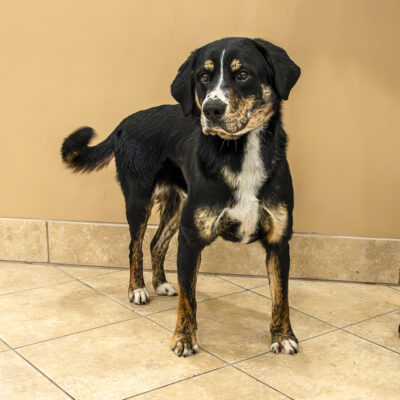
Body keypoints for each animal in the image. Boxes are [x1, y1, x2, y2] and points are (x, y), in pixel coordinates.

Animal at [61, 37, 300, 356]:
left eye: (243, 74)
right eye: (203, 77)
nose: (211, 109)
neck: (239, 153)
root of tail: (124, 123)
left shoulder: (279, 241)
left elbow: (280, 297)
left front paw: (283, 336)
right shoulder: (190, 239)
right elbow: (189, 298)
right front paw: (184, 338)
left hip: (176, 206)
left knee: (156, 242)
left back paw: (160, 283)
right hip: (139, 199)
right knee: (135, 245)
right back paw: (137, 289)